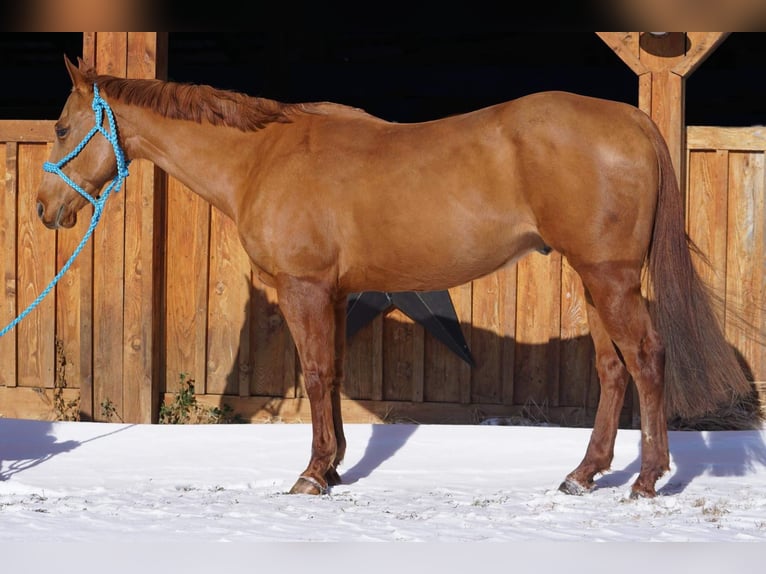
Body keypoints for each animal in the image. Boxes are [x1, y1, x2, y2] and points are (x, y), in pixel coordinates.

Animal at [36, 57, 756, 500]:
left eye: (64, 127)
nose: (45, 210)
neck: (262, 157)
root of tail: (631, 118)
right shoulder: (336, 294)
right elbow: (333, 377)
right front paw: (333, 468)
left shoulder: (303, 288)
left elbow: (316, 374)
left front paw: (311, 476)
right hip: (594, 281)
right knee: (613, 369)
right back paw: (583, 475)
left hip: (610, 278)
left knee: (647, 358)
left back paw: (645, 481)